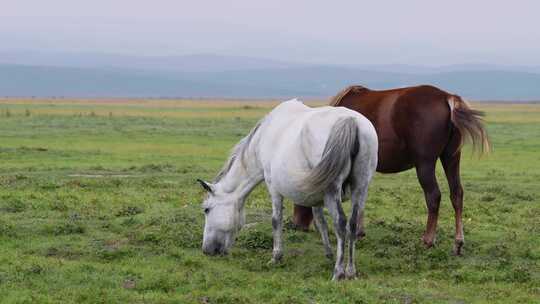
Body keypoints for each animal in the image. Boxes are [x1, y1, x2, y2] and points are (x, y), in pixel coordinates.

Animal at [199, 100, 380, 280]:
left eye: (207, 210)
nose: (206, 250)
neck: (263, 138)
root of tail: (350, 120)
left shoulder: (273, 187)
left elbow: (276, 220)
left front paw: (276, 257)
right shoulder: (316, 197)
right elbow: (320, 221)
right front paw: (328, 254)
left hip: (332, 192)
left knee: (341, 223)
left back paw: (338, 272)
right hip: (360, 189)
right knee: (353, 224)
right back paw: (350, 271)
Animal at [294, 85, 492, 254]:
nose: (296, 224)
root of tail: (447, 97)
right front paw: (359, 230)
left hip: (425, 164)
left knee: (434, 196)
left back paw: (428, 240)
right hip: (451, 158)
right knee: (456, 194)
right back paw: (458, 243)